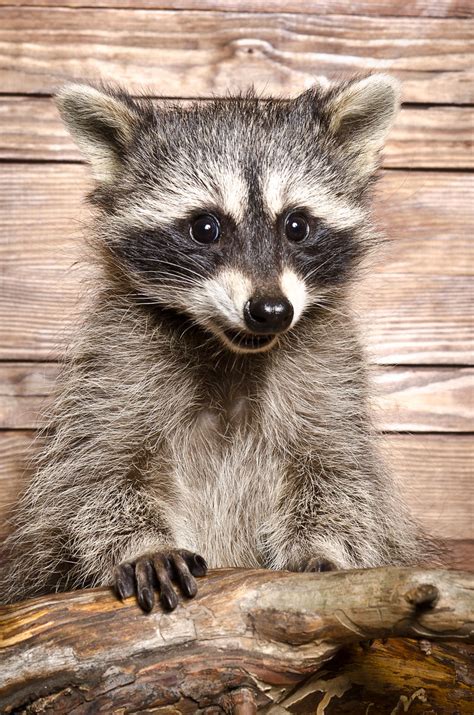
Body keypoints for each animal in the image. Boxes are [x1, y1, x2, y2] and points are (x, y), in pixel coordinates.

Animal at [0, 75, 432, 612]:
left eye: (297, 225)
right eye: (206, 227)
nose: (271, 310)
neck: (231, 348)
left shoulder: (327, 372)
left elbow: (338, 473)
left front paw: (323, 547)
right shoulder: (116, 364)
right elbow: (97, 474)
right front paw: (144, 545)